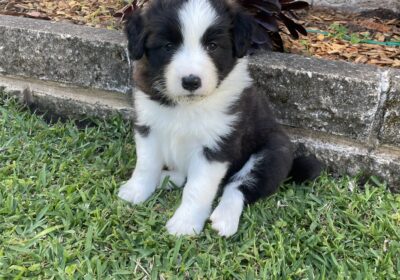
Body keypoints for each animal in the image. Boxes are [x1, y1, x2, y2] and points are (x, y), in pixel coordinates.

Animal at [117, 0, 320, 236]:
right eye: (168, 46)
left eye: (212, 46)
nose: (191, 81)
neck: (188, 105)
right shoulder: (148, 127)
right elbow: (146, 165)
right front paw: (136, 190)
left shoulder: (217, 146)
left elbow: (197, 188)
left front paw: (185, 223)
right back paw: (166, 178)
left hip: (273, 153)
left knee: (237, 187)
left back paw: (224, 218)